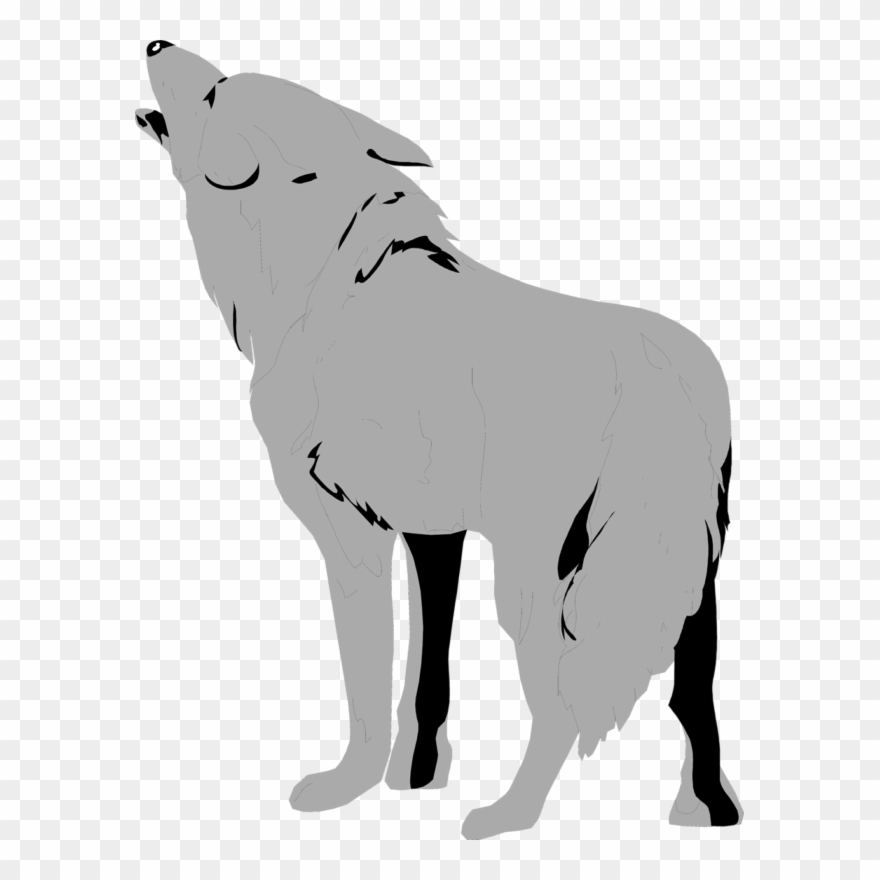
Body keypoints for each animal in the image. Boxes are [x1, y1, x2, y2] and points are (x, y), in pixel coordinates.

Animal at [135, 40, 744, 839]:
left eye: (216, 92)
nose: (155, 42)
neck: (322, 292)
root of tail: (669, 369)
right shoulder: (411, 536)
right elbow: (411, 682)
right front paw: (401, 779)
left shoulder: (373, 536)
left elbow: (382, 680)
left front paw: (372, 782)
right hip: (689, 577)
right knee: (692, 693)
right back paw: (710, 809)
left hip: (536, 578)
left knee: (558, 703)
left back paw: (510, 816)